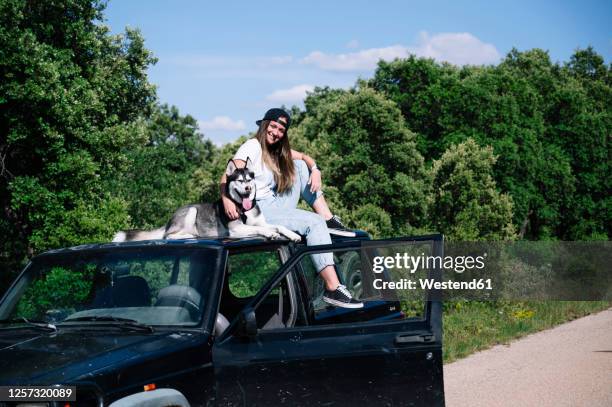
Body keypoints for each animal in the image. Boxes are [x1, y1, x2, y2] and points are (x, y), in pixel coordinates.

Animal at [112, 159, 302, 242]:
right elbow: (260, 230)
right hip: (191, 211)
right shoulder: (236, 230)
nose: (248, 189)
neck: (243, 209)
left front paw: (292, 235)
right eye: (240, 181)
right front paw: (270, 234)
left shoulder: (260, 222)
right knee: (169, 236)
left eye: (249, 179)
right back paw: (190, 234)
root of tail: (169, 221)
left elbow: (278, 226)